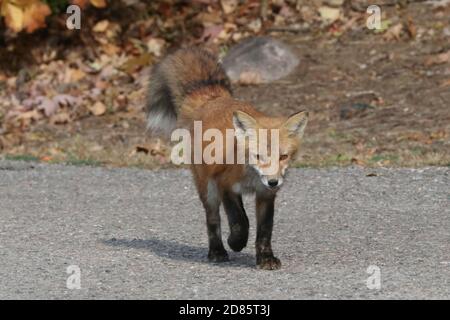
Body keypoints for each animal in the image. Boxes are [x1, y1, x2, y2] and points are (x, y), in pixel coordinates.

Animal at [146, 46, 308, 268]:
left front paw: (265, 258)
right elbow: (240, 221)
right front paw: (236, 242)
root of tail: (213, 99)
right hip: (208, 189)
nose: (273, 182)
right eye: (258, 156)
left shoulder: (265, 195)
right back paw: (217, 251)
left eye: (283, 156)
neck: (251, 177)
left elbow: (265, 230)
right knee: (213, 220)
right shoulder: (224, 185)